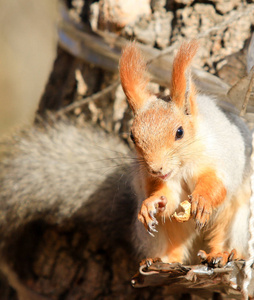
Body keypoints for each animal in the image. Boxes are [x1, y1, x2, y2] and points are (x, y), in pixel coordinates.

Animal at [118, 40, 252, 268]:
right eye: (132, 136)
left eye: (179, 132)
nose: (156, 169)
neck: (183, 166)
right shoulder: (165, 182)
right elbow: (169, 198)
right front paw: (152, 203)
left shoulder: (221, 158)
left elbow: (217, 185)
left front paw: (202, 200)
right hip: (163, 234)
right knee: (175, 245)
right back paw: (163, 260)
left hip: (237, 222)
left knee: (224, 238)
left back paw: (220, 255)